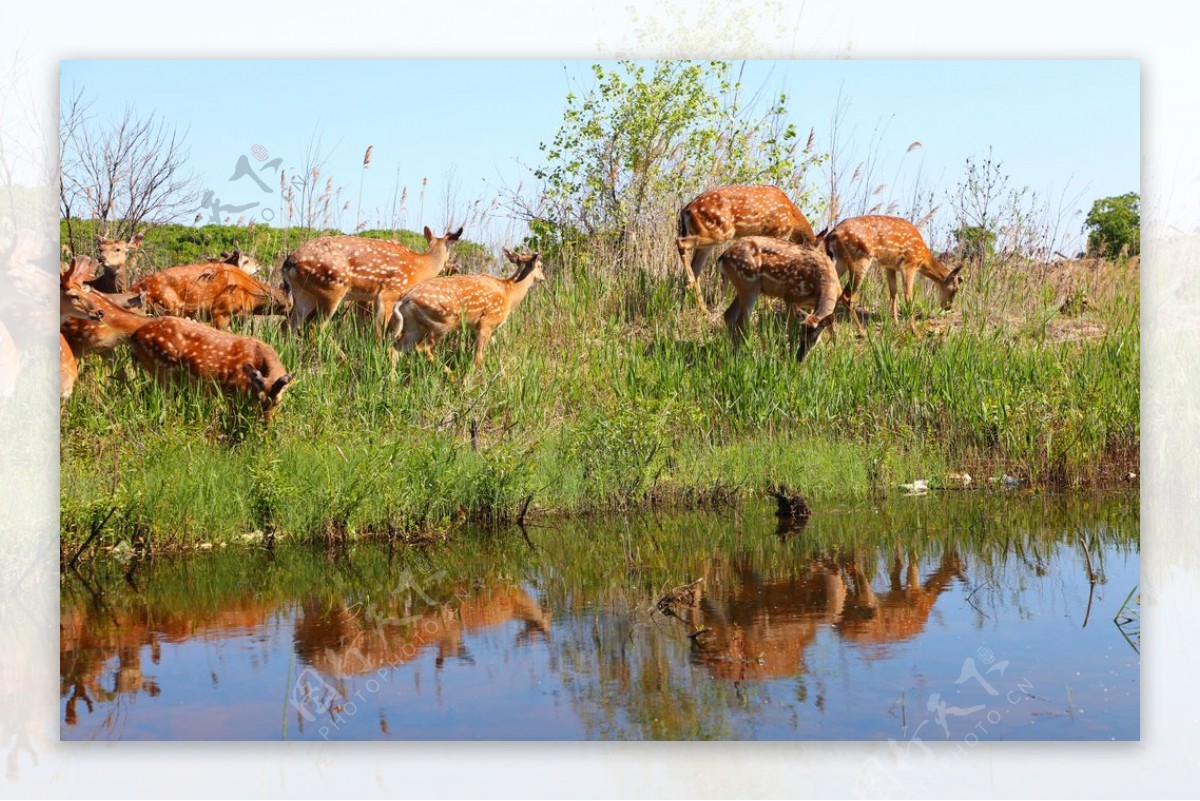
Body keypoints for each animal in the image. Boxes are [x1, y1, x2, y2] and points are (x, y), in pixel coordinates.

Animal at [280, 225, 463, 335]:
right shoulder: (389, 292)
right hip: (331, 287)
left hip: (304, 294)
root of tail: (289, 262)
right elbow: (380, 328)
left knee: (288, 324)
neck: (420, 266)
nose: (455, 266)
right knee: (315, 326)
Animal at [393, 247, 544, 369]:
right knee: (421, 348)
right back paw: (451, 376)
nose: (543, 278)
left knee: (396, 350)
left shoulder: (489, 329)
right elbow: (478, 358)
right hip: (441, 322)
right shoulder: (487, 323)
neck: (509, 293)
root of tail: (406, 299)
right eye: (540, 265)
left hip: (413, 326)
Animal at [676, 185, 816, 314]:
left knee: (696, 267)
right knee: (681, 242)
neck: (793, 217)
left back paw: (703, 310)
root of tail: (685, 211)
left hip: (709, 236)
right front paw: (767, 310)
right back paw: (690, 284)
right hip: (720, 232)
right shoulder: (777, 233)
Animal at [825, 214, 964, 330]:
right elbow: (908, 296)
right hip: (860, 257)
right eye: (955, 289)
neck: (922, 258)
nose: (948, 307)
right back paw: (861, 331)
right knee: (847, 295)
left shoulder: (890, 266)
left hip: (841, 260)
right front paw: (914, 330)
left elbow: (894, 293)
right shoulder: (909, 264)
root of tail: (832, 234)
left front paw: (896, 324)